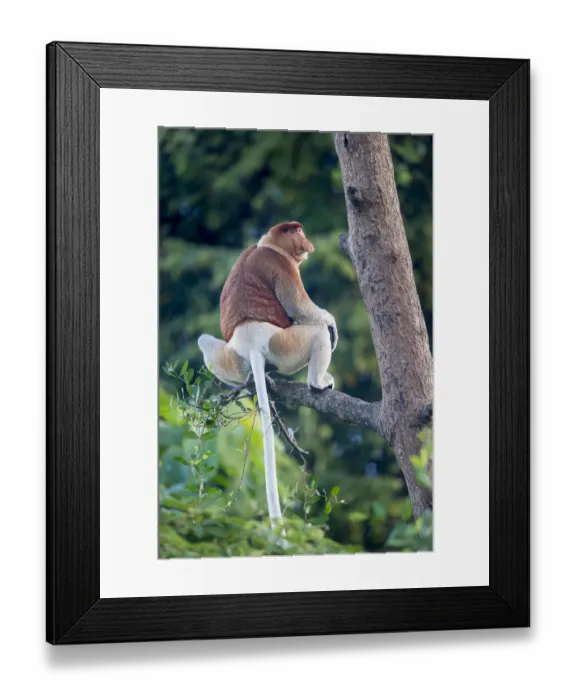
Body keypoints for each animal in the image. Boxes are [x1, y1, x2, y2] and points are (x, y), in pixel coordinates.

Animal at [198, 222, 337, 529]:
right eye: (297, 231)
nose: (307, 244)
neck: (266, 245)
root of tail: (252, 344)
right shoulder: (281, 265)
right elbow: (300, 308)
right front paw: (332, 324)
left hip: (231, 357)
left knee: (204, 341)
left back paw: (254, 380)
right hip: (284, 344)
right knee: (317, 332)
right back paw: (318, 383)